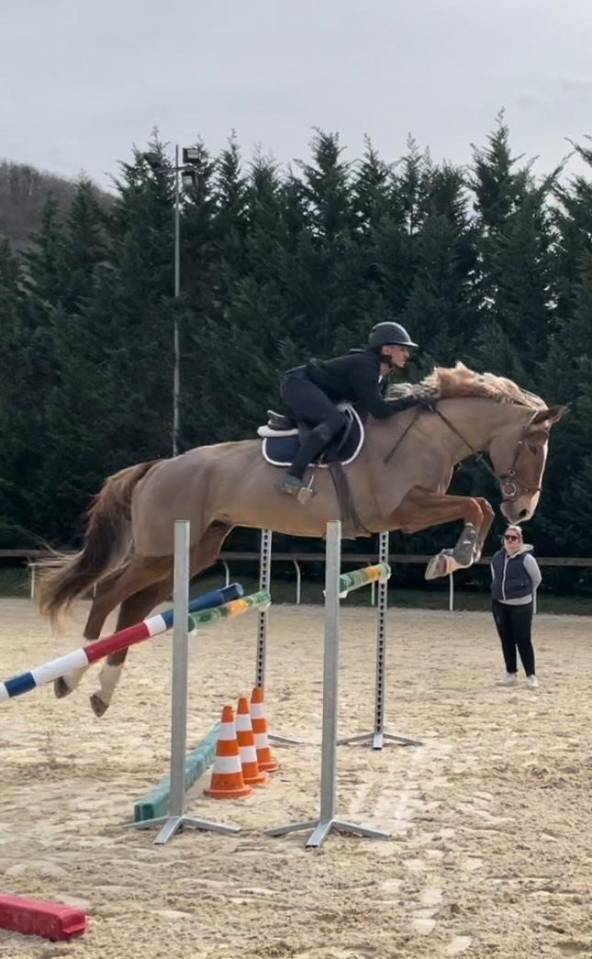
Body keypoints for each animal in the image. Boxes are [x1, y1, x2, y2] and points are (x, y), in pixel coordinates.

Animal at [39, 363, 565, 716]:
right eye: (533, 446)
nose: (522, 511)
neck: (429, 436)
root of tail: (159, 466)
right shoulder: (403, 510)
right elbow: (474, 504)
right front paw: (455, 556)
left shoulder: (411, 511)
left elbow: (476, 506)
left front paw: (456, 555)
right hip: (161, 549)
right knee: (109, 593)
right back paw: (69, 676)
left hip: (191, 552)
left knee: (135, 608)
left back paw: (101, 692)